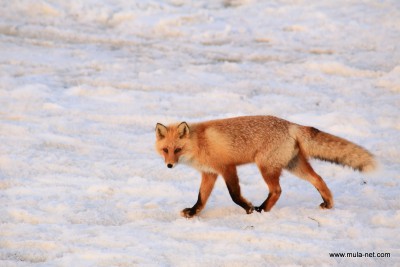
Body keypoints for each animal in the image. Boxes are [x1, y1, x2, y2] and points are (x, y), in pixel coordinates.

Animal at [155, 116, 376, 219]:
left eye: (178, 149)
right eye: (166, 150)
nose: (169, 165)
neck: (199, 143)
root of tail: (290, 124)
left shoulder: (227, 168)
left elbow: (234, 195)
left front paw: (248, 208)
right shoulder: (209, 173)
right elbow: (201, 198)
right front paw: (193, 213)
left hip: (266, 167)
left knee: (277, 190)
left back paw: (261, 209)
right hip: (293, 165)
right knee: (318, 179)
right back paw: (328, 204)